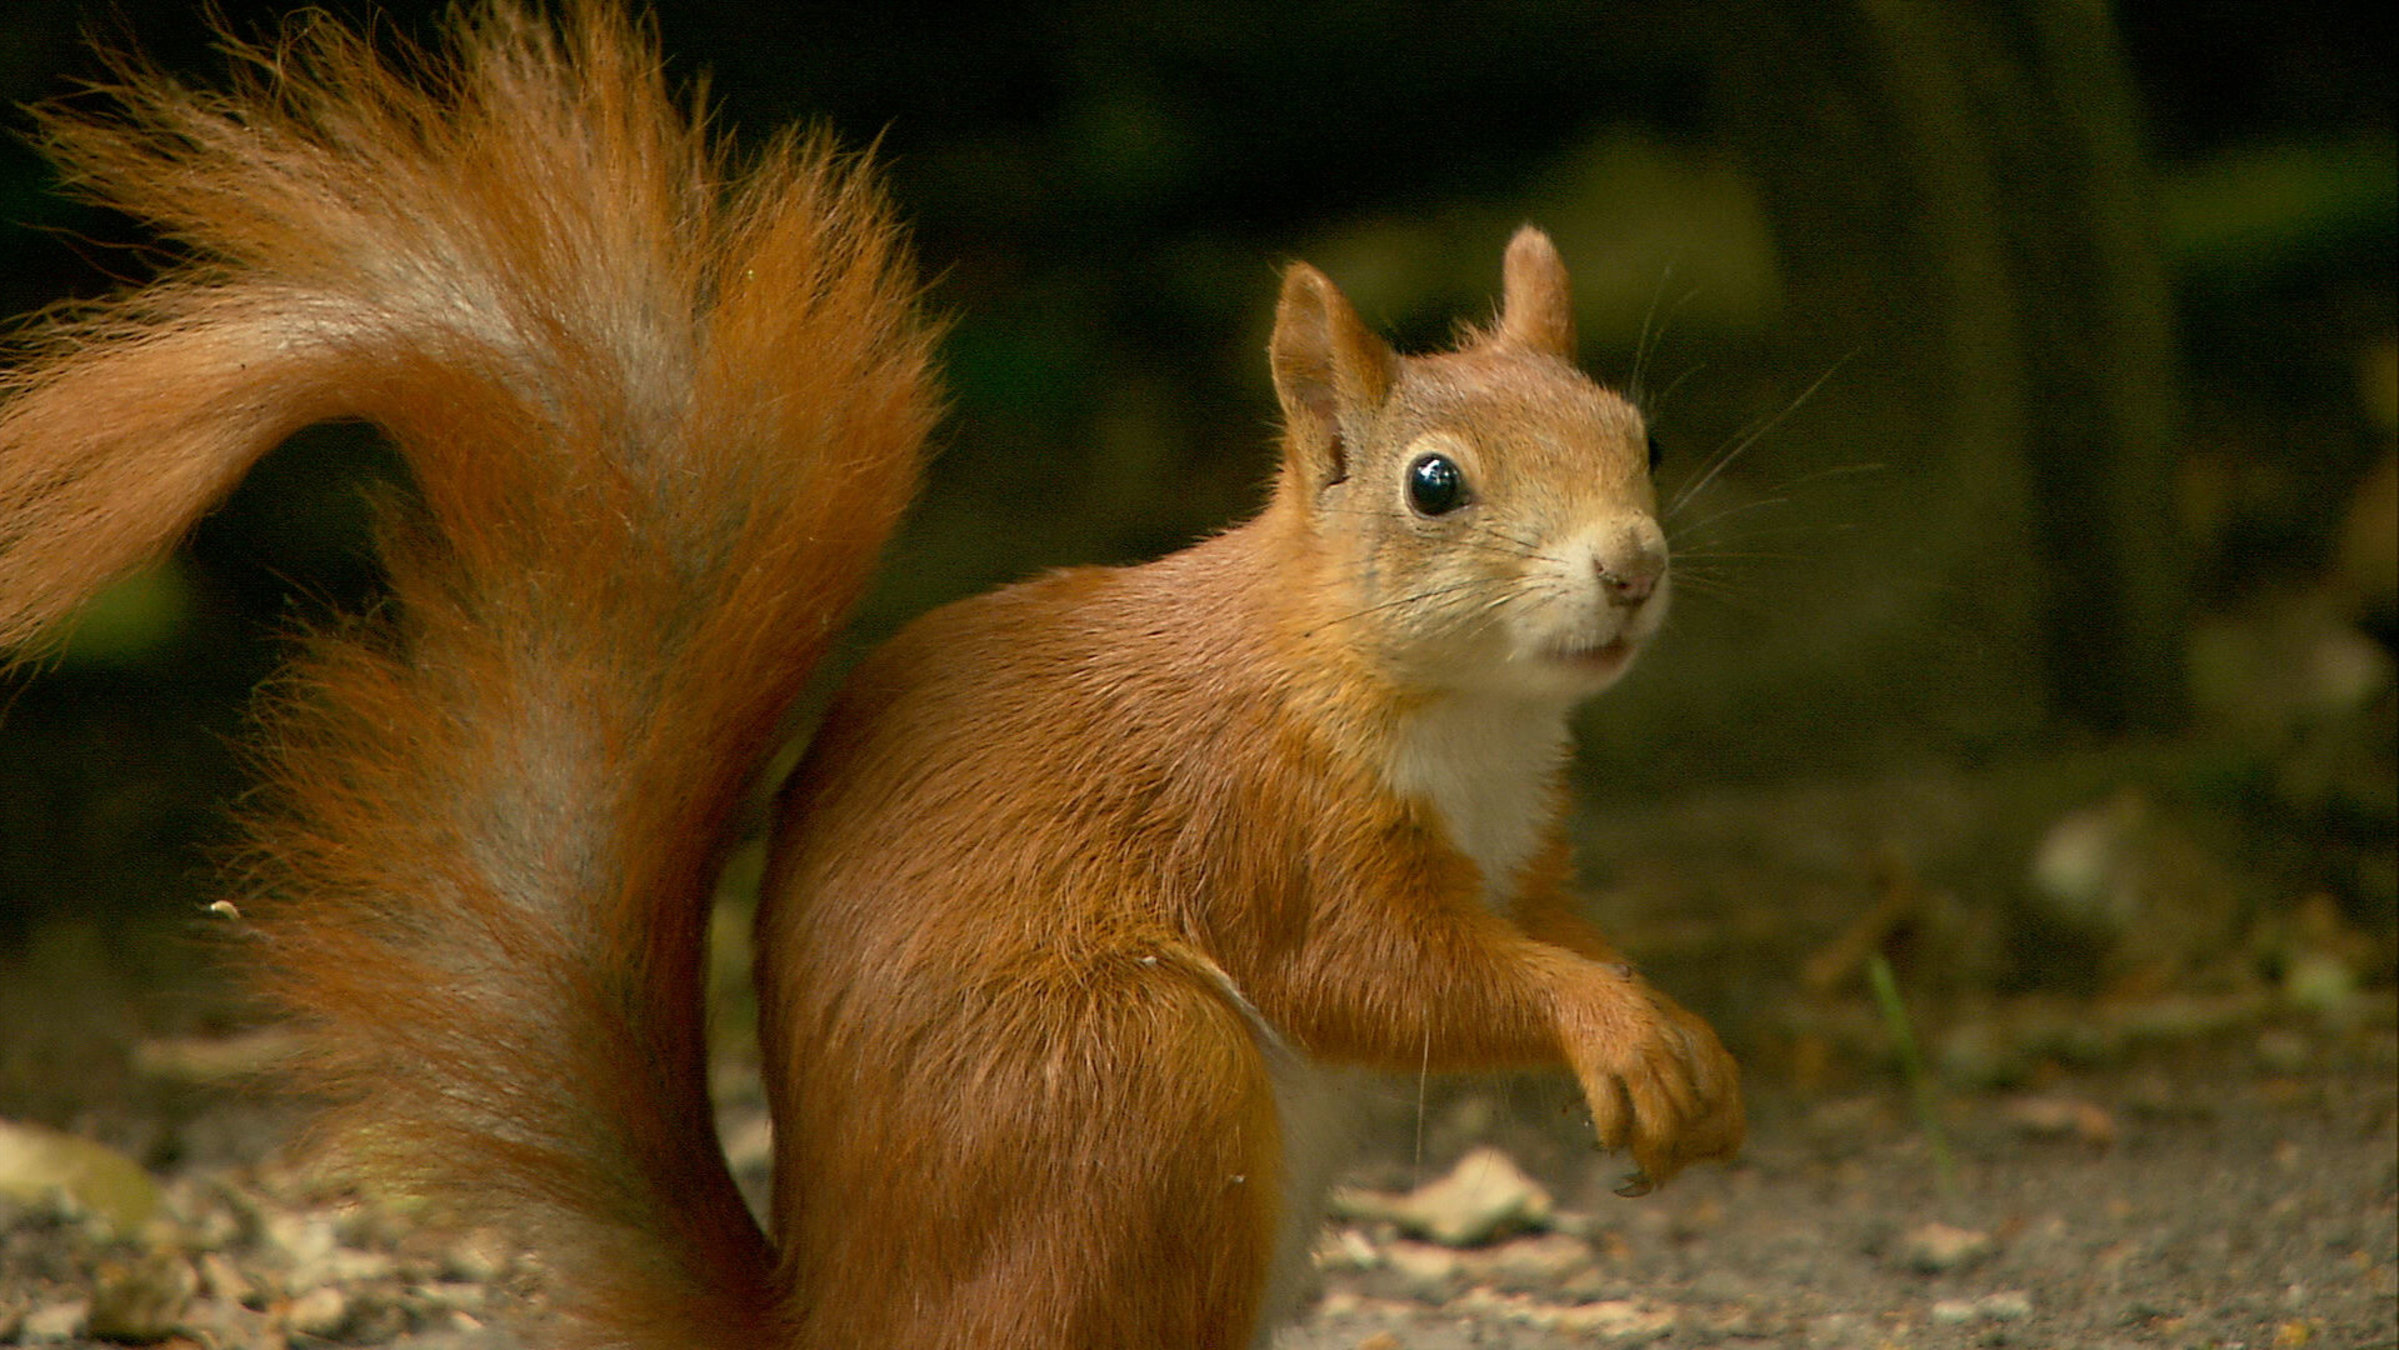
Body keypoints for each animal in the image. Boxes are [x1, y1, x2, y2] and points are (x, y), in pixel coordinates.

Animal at [0, 3, 1742, 1347]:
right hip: (1127, 1088)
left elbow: (1547, 928)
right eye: (1432, 485)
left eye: (1638, 434)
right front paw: (1602, 1022)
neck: (1455, 712)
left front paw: (1679, 1041)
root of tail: (838, 1316)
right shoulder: (1262, 817)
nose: (1632, 567)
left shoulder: (1520, 843)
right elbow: (1383, 974)